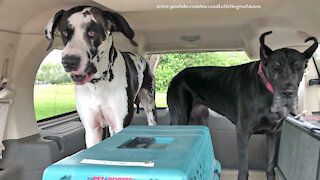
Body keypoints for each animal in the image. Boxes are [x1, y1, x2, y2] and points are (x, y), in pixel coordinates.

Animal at [45, 5, 158, 148]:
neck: (97, 83)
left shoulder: (120, 124)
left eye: (92, 33)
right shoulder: (92, 130)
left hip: (149, 104)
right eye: (65, 33)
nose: (69, 61)